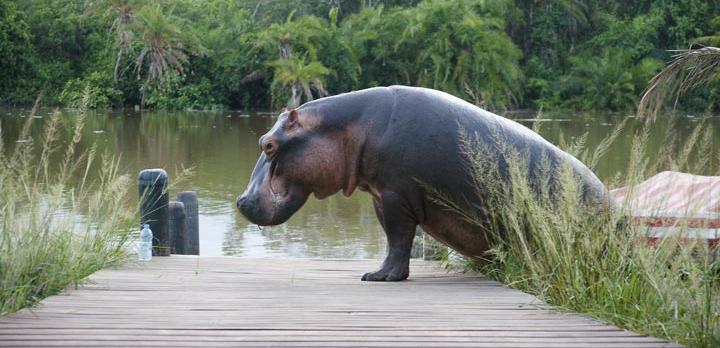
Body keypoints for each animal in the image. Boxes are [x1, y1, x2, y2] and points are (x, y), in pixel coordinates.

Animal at [238, 85, 612, 282]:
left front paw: (378, 277)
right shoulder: (380, 196)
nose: (241, 201)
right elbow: (396, 240)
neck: (352, 127)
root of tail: (613, 205)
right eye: (258, 139)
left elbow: (398, 239)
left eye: (268, 145)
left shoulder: (395, 196)